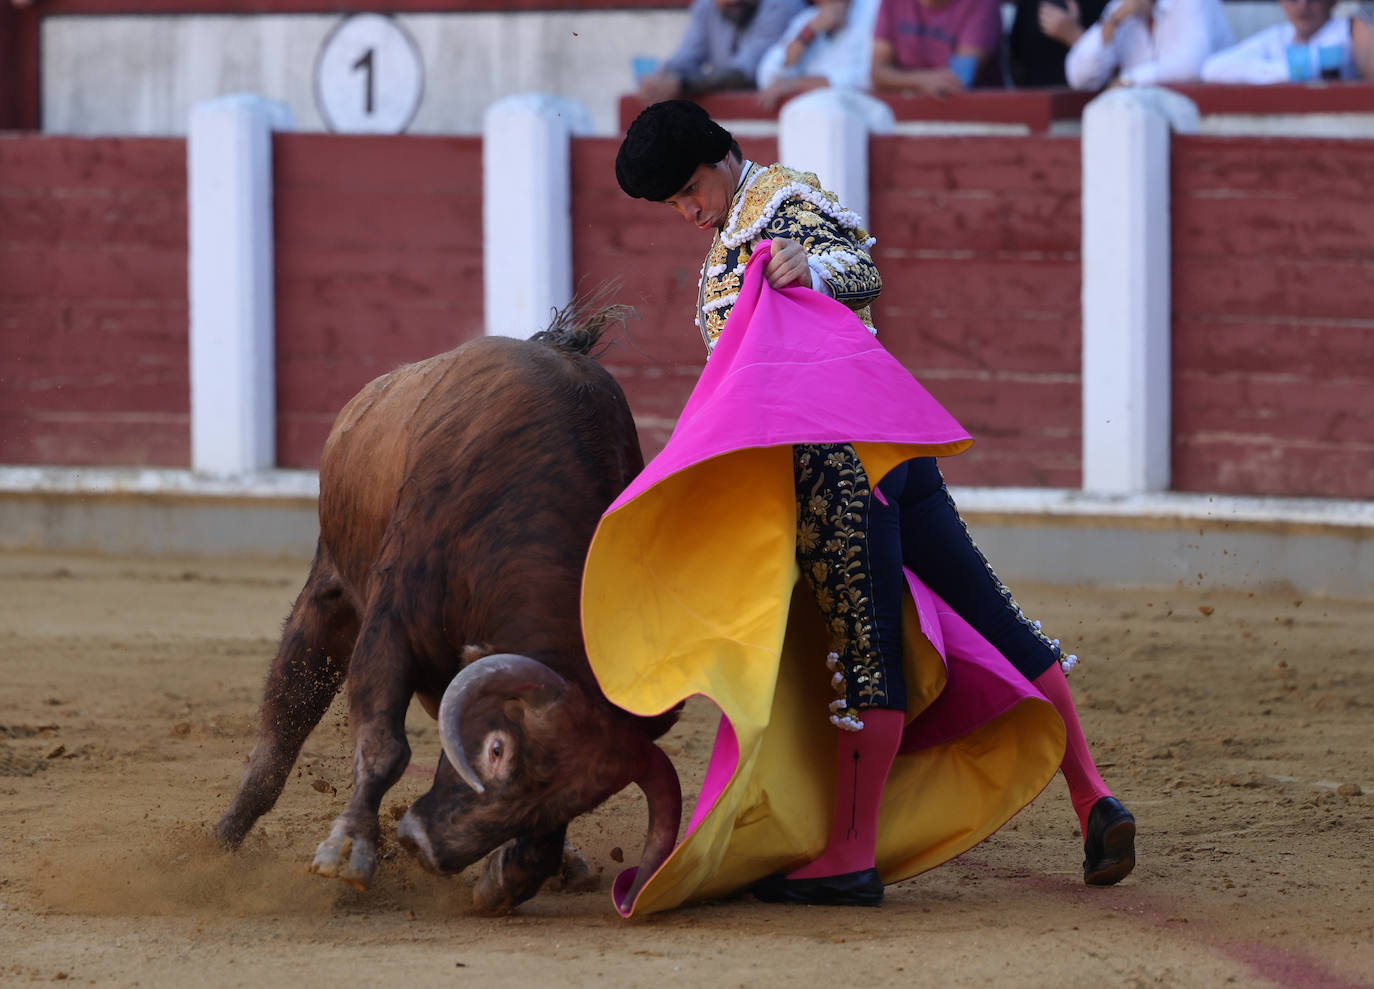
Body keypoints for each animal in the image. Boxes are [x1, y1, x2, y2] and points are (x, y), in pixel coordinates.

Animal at [212, 304, 681, 917]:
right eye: (497, 749)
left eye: (586, 799)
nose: (427, 849)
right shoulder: (391, 624)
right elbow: (383, 746)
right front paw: (347, 852)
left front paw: (514, 875)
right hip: (329, 593)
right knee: (282, 728)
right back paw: (219, 844)